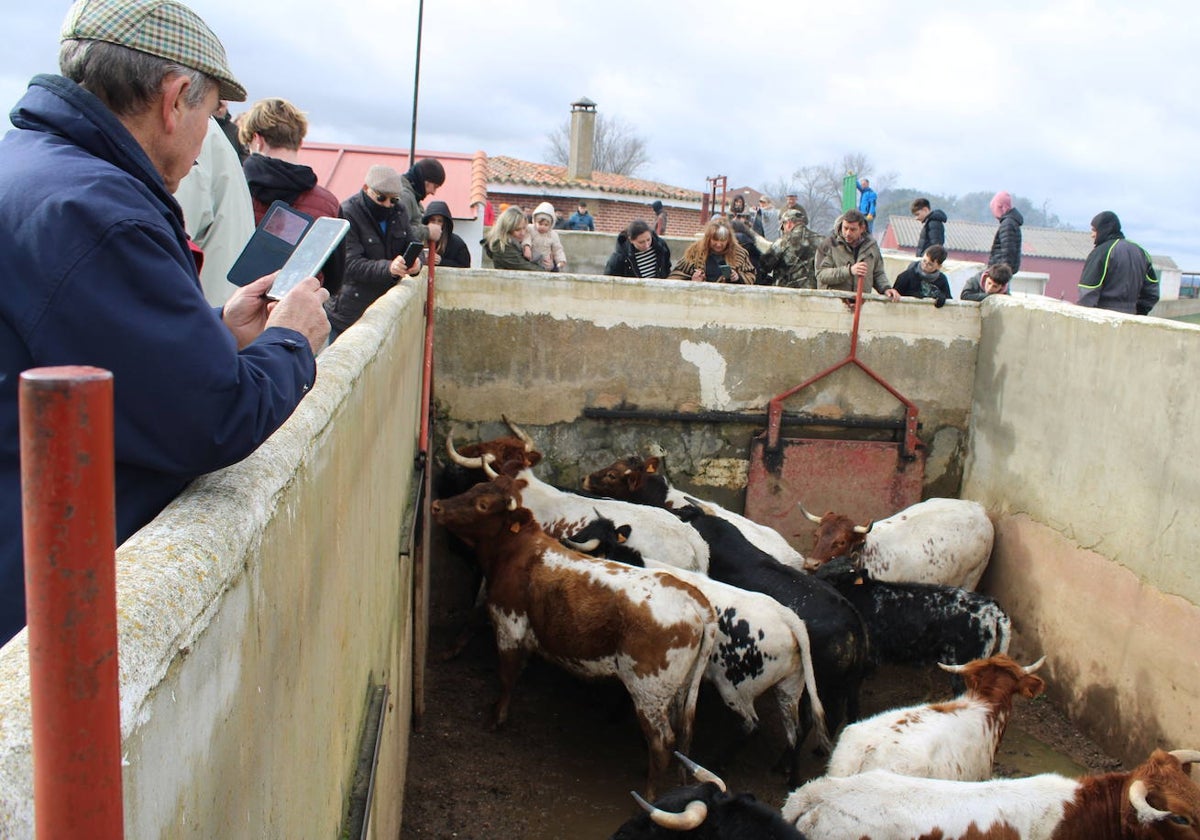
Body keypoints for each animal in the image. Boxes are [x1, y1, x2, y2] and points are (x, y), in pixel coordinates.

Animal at [429, 475, 710, 796]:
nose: (437, 506)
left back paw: (650, 793)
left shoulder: (509, 625)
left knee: (662, 742)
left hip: (648, 693)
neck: (521, 550)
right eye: (474, 488)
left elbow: (507, 675)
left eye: (483, 505)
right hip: (679, 691)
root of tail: (694, 601)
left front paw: (497, 717)